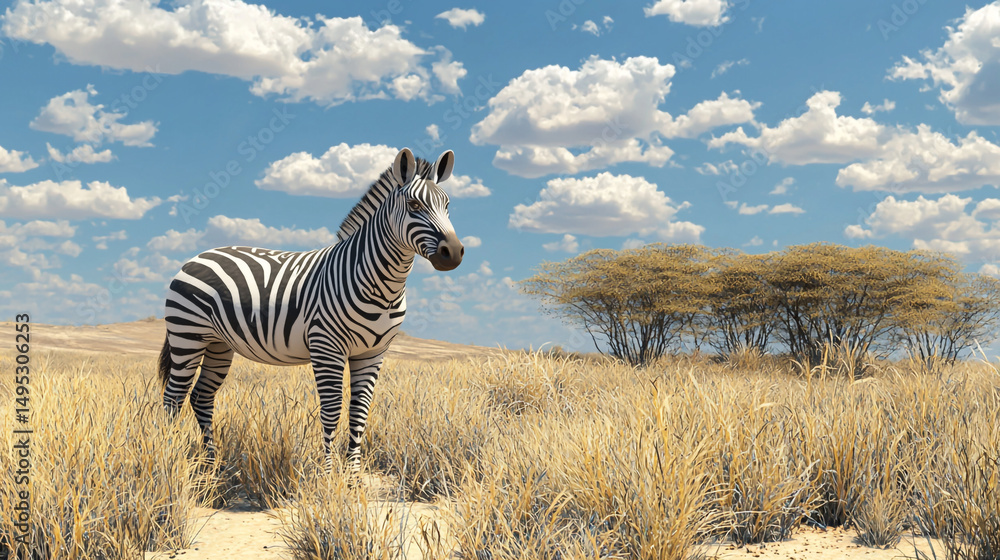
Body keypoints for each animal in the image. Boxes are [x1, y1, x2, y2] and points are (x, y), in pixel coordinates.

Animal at [157, 148, 464, 473]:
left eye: (447, 205)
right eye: (414, 205)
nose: (454, 253)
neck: (381, 286)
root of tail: (196, 257)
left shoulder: (373, 352)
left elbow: (359, 412)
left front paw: (353, 475)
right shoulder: (326, 346)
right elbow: (332, 410)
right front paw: (328, 473)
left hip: (218, 344)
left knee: (201, 396)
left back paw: (211, 463)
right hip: (187, 336)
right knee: (173, 397)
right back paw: (170, 456)